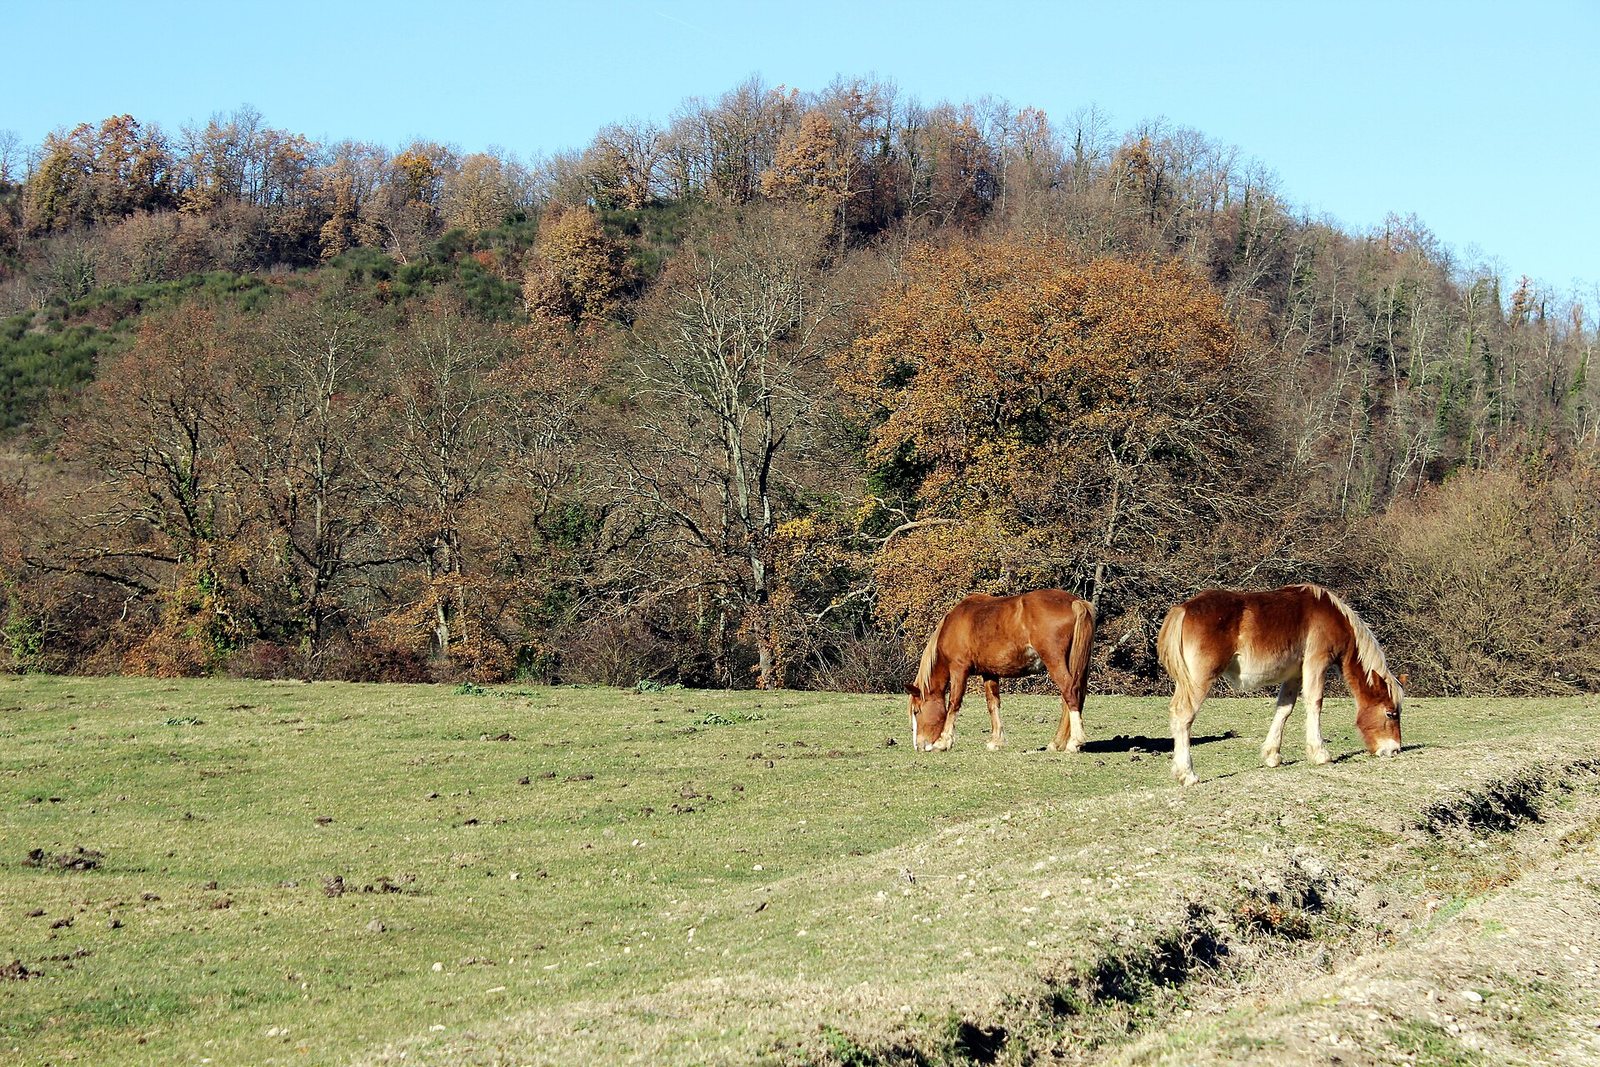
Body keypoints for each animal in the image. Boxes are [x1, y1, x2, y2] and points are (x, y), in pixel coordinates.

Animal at [905, 589, 1096, 753]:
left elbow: (954, 703)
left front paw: (943, 742)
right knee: (1069, 698)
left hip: (1054, 661)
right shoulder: (989, 673)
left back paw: (1074, 742)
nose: (918, 746)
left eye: (917, 711)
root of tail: (1075, 602)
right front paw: (996, 741)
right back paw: (1057, 743)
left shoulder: (959, 670)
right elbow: (993, 704)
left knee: (1070, 692)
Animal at [1156, 583, 1403, 786]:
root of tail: (1184, 609)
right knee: (1183, 716)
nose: (1394, 750)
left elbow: (1284, 709)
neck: (1331, 614)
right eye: (1390, 713)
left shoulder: (1294, 674)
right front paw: (1320, 753)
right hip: (1199, 681)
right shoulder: (1316, 663)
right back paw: (1187, 774)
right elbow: (1315, 703)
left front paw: (1272, 755)